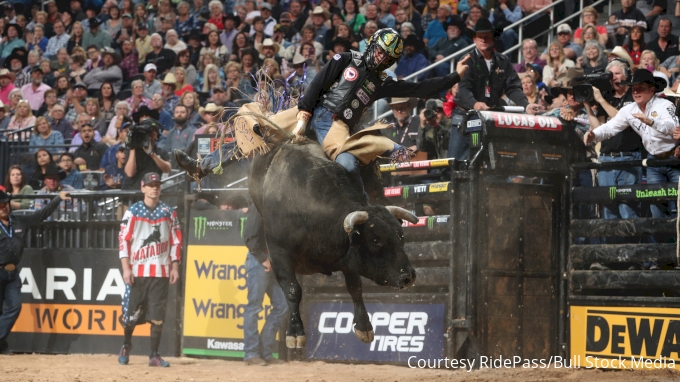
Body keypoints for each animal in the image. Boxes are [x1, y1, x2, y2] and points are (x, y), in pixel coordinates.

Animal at [250, 141, 420, 350]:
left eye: (401, 236)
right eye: (375, 240)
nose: (408, 277)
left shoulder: (348, 258)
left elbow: (355, 288)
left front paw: (364, 327)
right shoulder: (278, 254)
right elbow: (292, 290)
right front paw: (295, 334)